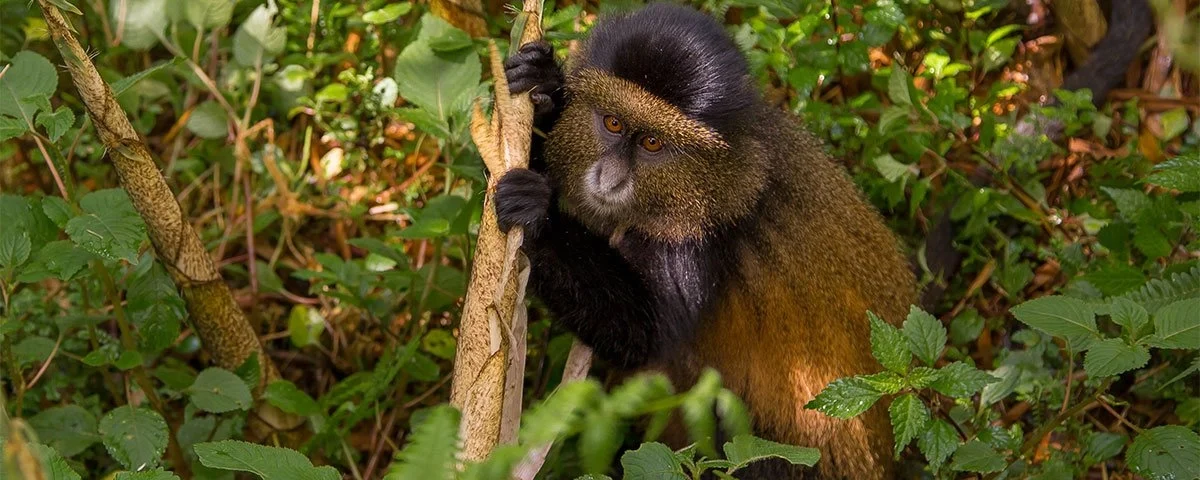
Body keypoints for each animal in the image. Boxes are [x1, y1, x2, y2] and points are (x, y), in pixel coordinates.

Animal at [494, 3, 916, 479]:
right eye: (612, 123)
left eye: (653, 143)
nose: (609, 178)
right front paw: (545, 82)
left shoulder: (698, 238)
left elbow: (642, 335)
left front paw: (538, 214)